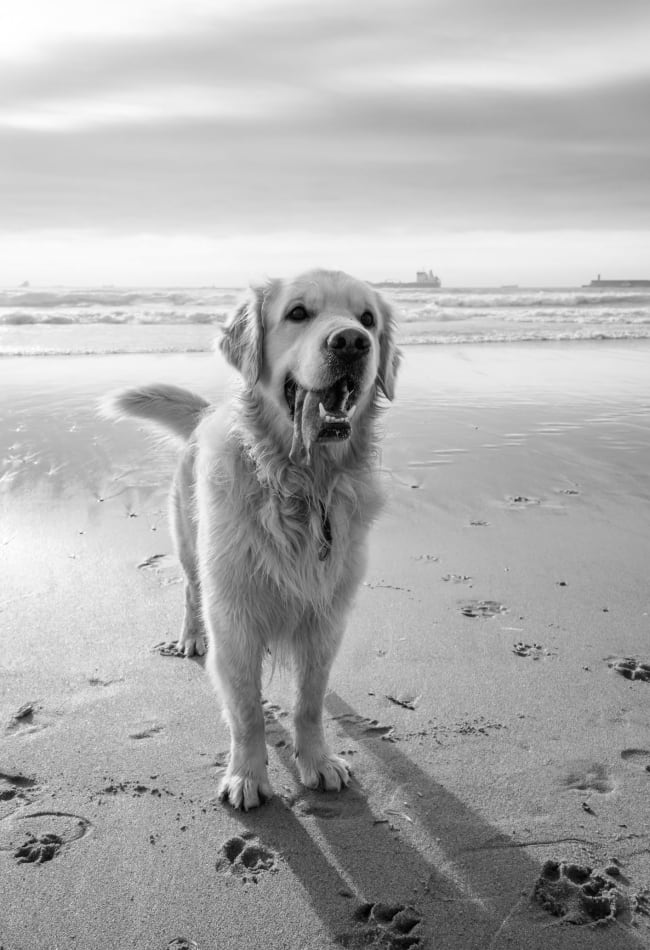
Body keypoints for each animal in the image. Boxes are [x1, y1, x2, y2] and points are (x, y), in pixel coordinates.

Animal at [104, 268, 398, 812]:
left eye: (367, 318)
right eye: (298, 313)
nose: (351, 342)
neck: (300, 484)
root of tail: (204, 414)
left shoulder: (326, 617)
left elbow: (309, 700)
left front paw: (317, 760)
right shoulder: (234, 616)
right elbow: (245, 710)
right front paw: (246, 776)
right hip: (190, 548)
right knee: (190, 590)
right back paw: (191, 637)